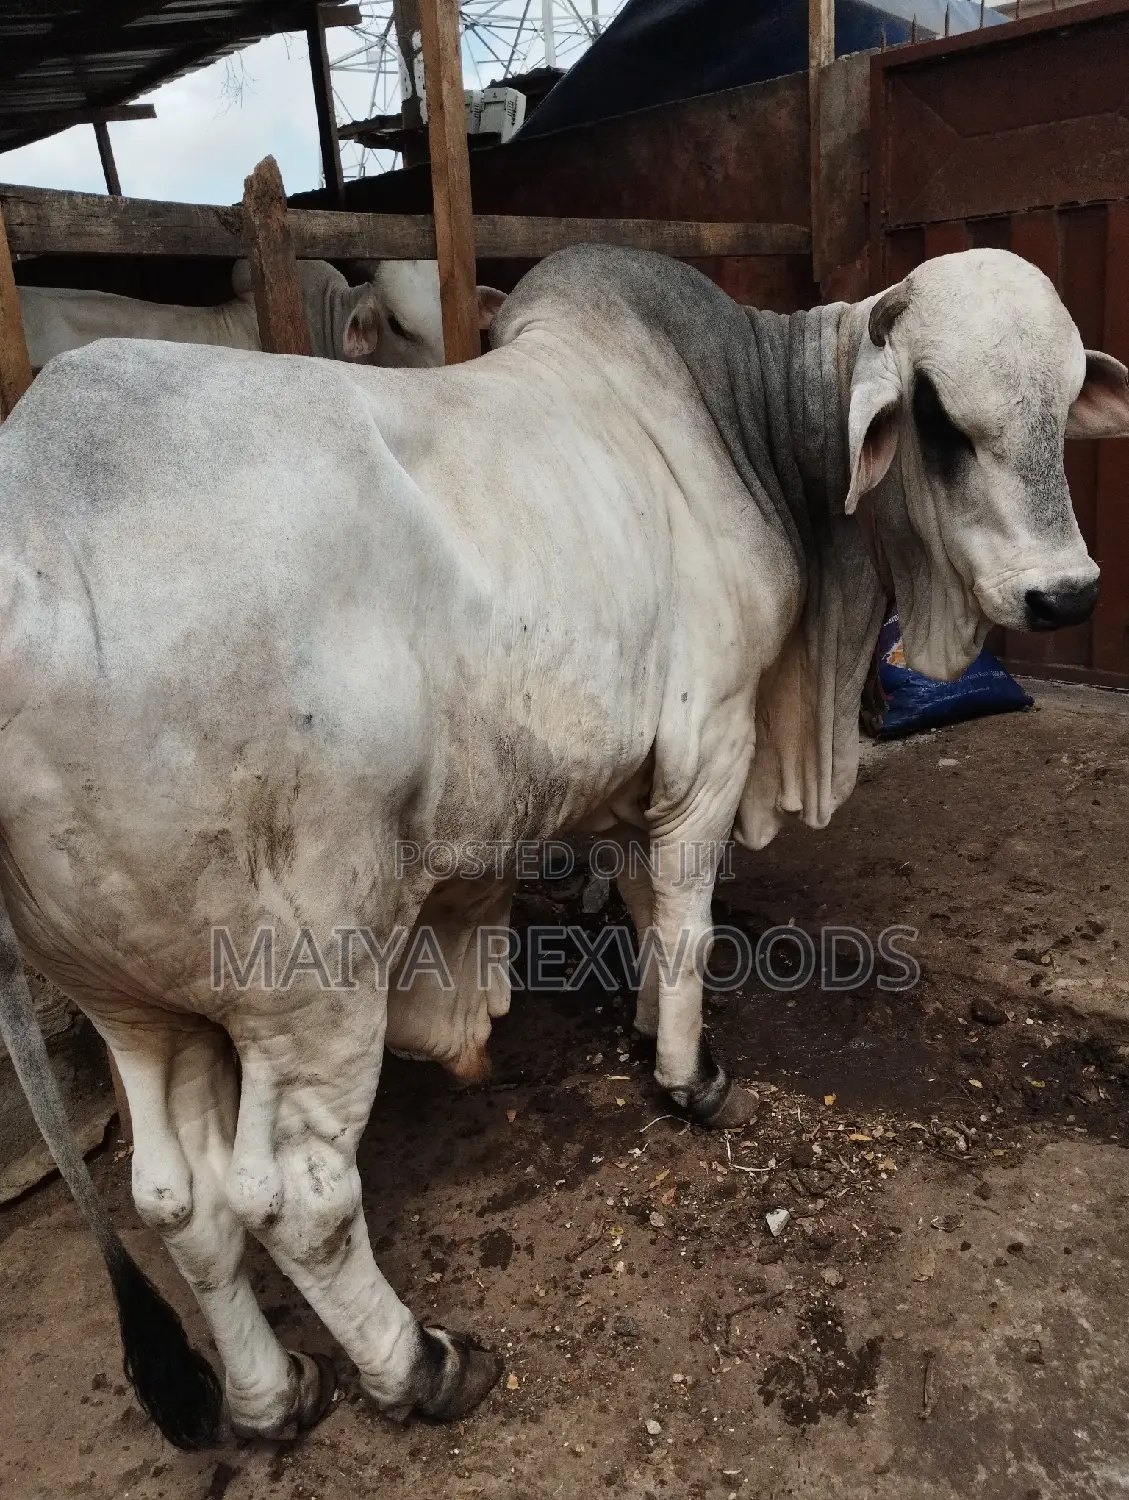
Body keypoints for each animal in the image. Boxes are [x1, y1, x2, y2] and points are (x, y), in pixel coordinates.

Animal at [0, 245, 1125, 1450]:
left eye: (1063, 400)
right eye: (939, 419)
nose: (1065, 592)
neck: (745, 422)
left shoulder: (634, 784)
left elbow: (638, 907)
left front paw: (642, 1029)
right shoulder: (709, 746)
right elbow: (684, 925)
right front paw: (689, 1076)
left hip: (136, 1001)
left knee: (180, 1204)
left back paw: (272, 1395)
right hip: (308, 981)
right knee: (297, 1201)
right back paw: (418, 1366)